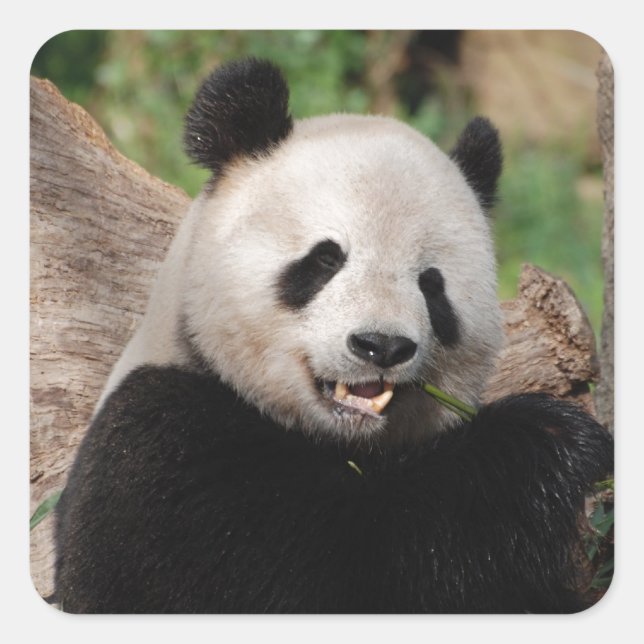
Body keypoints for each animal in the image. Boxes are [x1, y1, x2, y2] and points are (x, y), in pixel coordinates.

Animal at [54, 58, 613, 614]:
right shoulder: (160, 449)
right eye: (325, 259)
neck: (342, 440)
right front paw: (550, 440)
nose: (381, 346)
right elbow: (341, 563)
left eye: (431, 285)